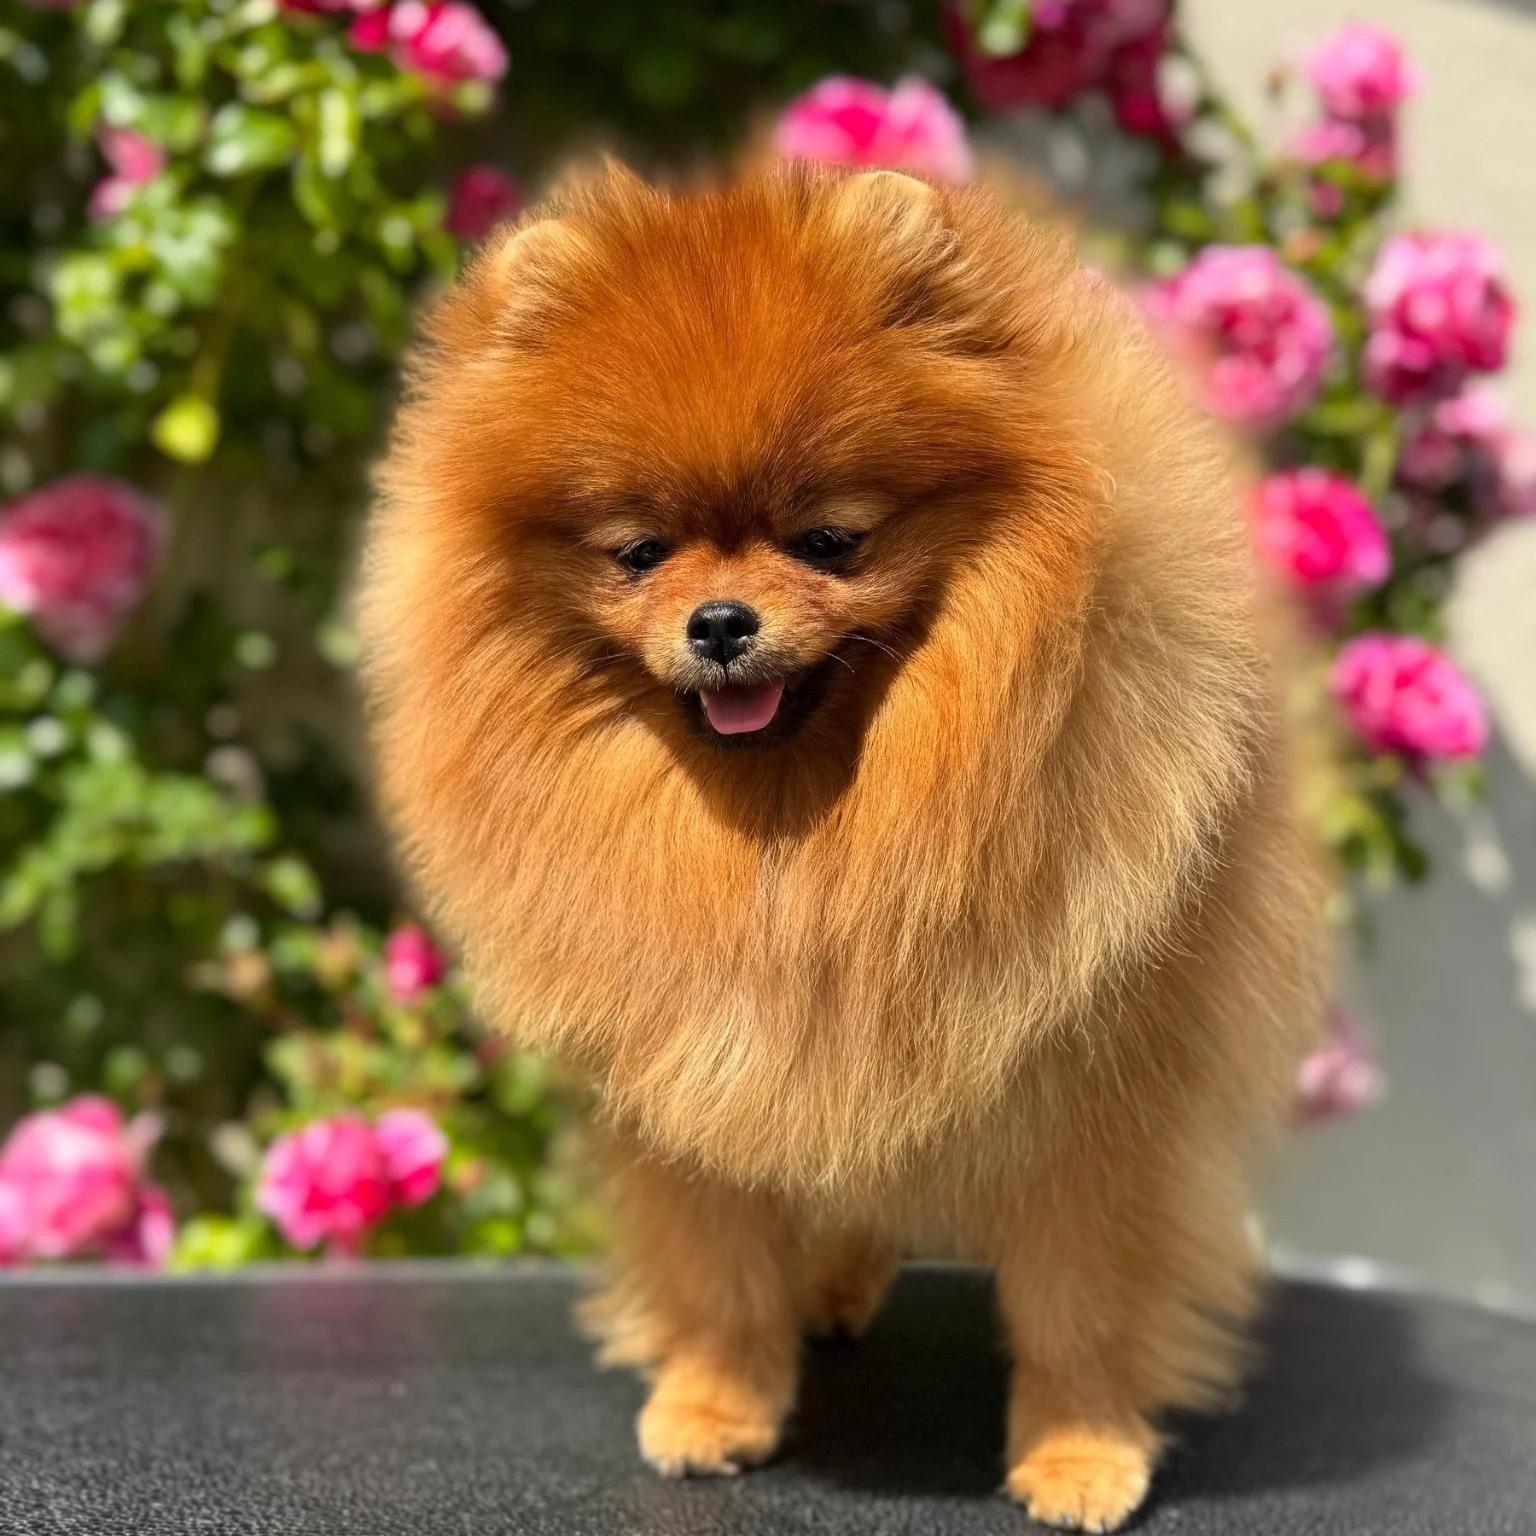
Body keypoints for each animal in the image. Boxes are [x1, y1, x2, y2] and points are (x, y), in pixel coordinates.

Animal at [360, 162, 1324, 1531]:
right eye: (638, 553)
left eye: (830, 540)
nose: (719, 621)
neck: (808, 836)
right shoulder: (691, 1073)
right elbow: (717, 1267)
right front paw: (718, 1401)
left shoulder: (1100, 1101)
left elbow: (1085, 1304)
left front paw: (1081, 1448)